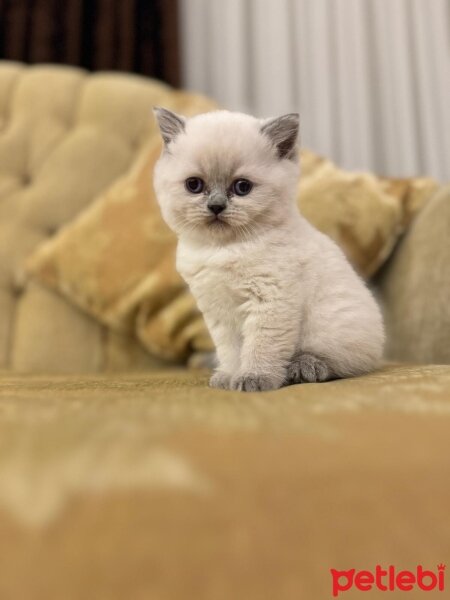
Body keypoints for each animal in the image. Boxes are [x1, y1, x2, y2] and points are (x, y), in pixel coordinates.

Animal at [152, 108, 384, 392]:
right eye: (194, 185)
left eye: (242, 187)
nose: (216, 206)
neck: (224, 249)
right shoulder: (220, 312)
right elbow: (231, 351)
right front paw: (229, 376)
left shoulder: (270, 300)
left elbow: (261, 347)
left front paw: (254, 378)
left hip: (331, 328)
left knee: (341, 362)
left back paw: (303, 368)